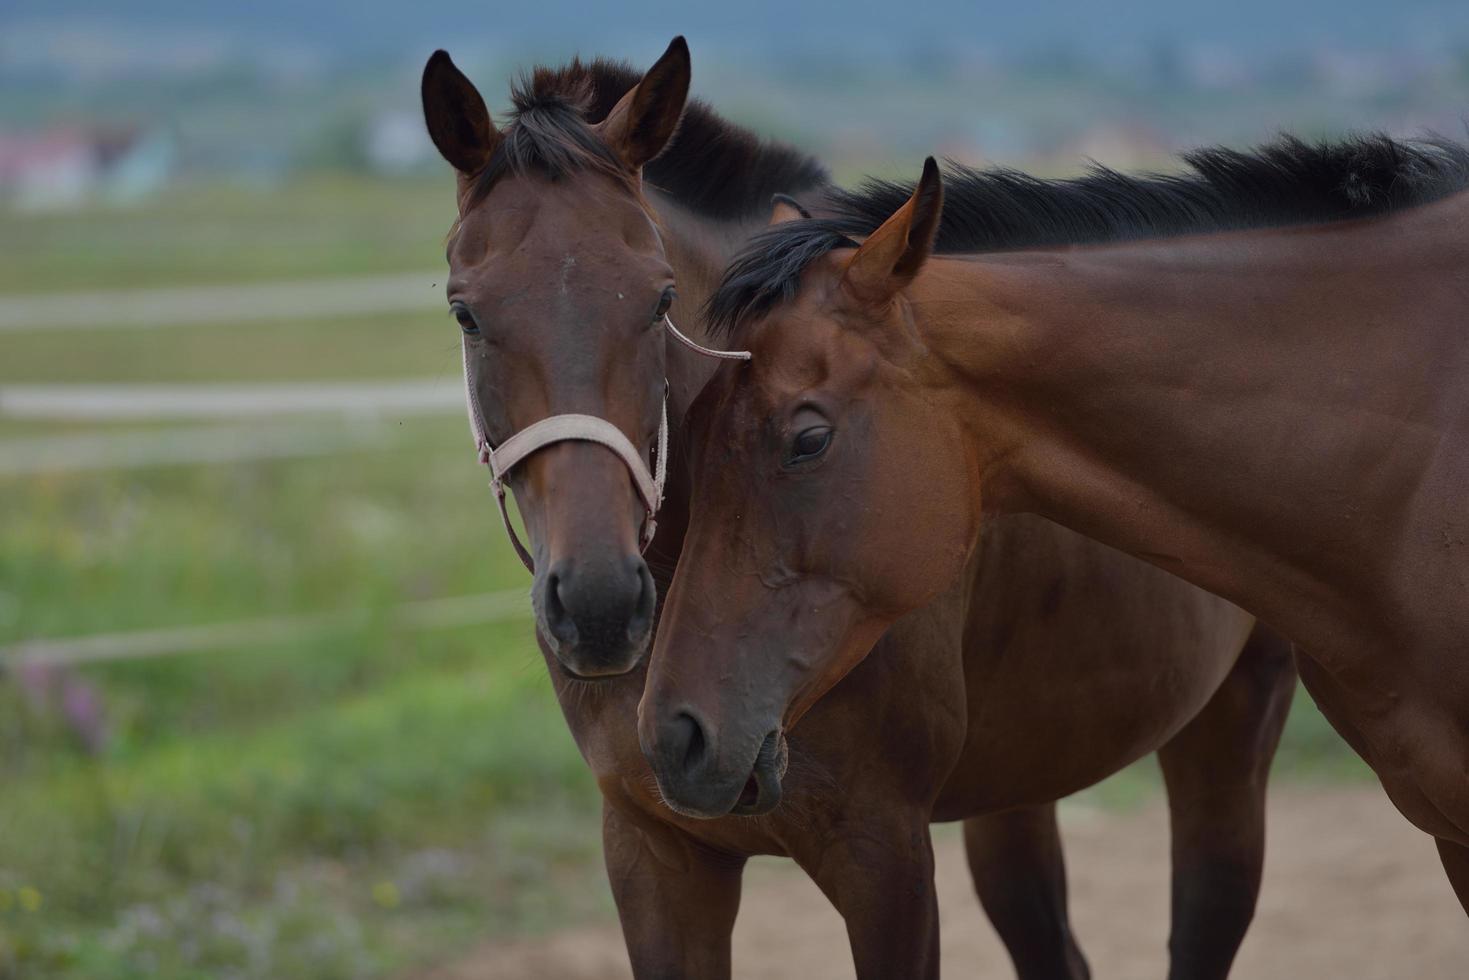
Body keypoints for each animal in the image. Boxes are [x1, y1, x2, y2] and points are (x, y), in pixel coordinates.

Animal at [420, 40, 1292, 980]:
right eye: (464, 311)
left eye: (659, 299)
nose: (598, 604)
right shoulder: (653, 851)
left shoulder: (882, 857)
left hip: (1233, 725)